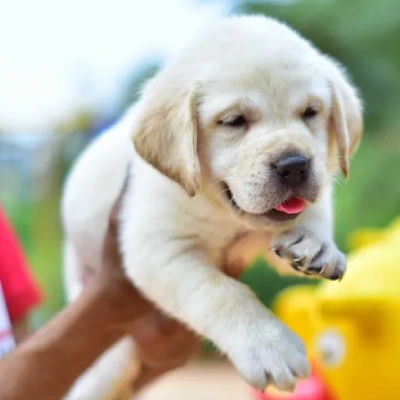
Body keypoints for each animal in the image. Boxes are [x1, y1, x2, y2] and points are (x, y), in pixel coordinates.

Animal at [61, 14, 362, 398]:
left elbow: (315, 207)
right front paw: (268, 346)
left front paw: (315, 243)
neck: (221, 210)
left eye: (310, 112)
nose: (295, 165)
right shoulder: (158, 249)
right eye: (234, 121)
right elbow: (220, 292)